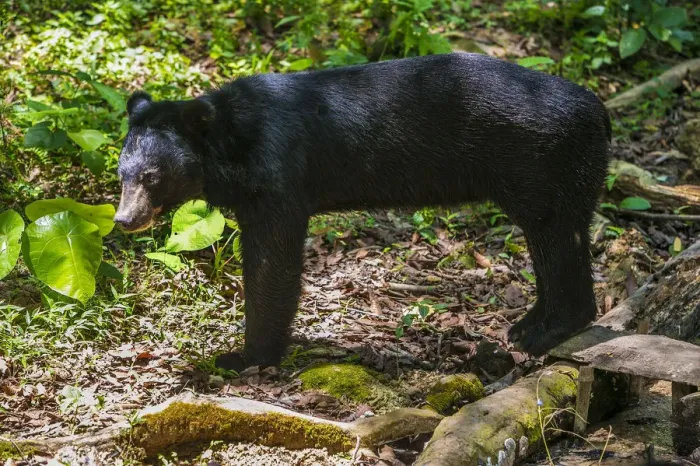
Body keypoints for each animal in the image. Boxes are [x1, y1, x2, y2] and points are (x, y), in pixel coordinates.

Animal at [114, 52, 611, 371]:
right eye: (123, 174)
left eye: (153, 177)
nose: (124, 219)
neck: (231, 145)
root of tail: (601, 113)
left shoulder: (279, 177)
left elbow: (273, 264)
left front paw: (244, 357)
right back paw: (526, 326)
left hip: (543, 165)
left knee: (556, 238)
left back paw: (546, 331)